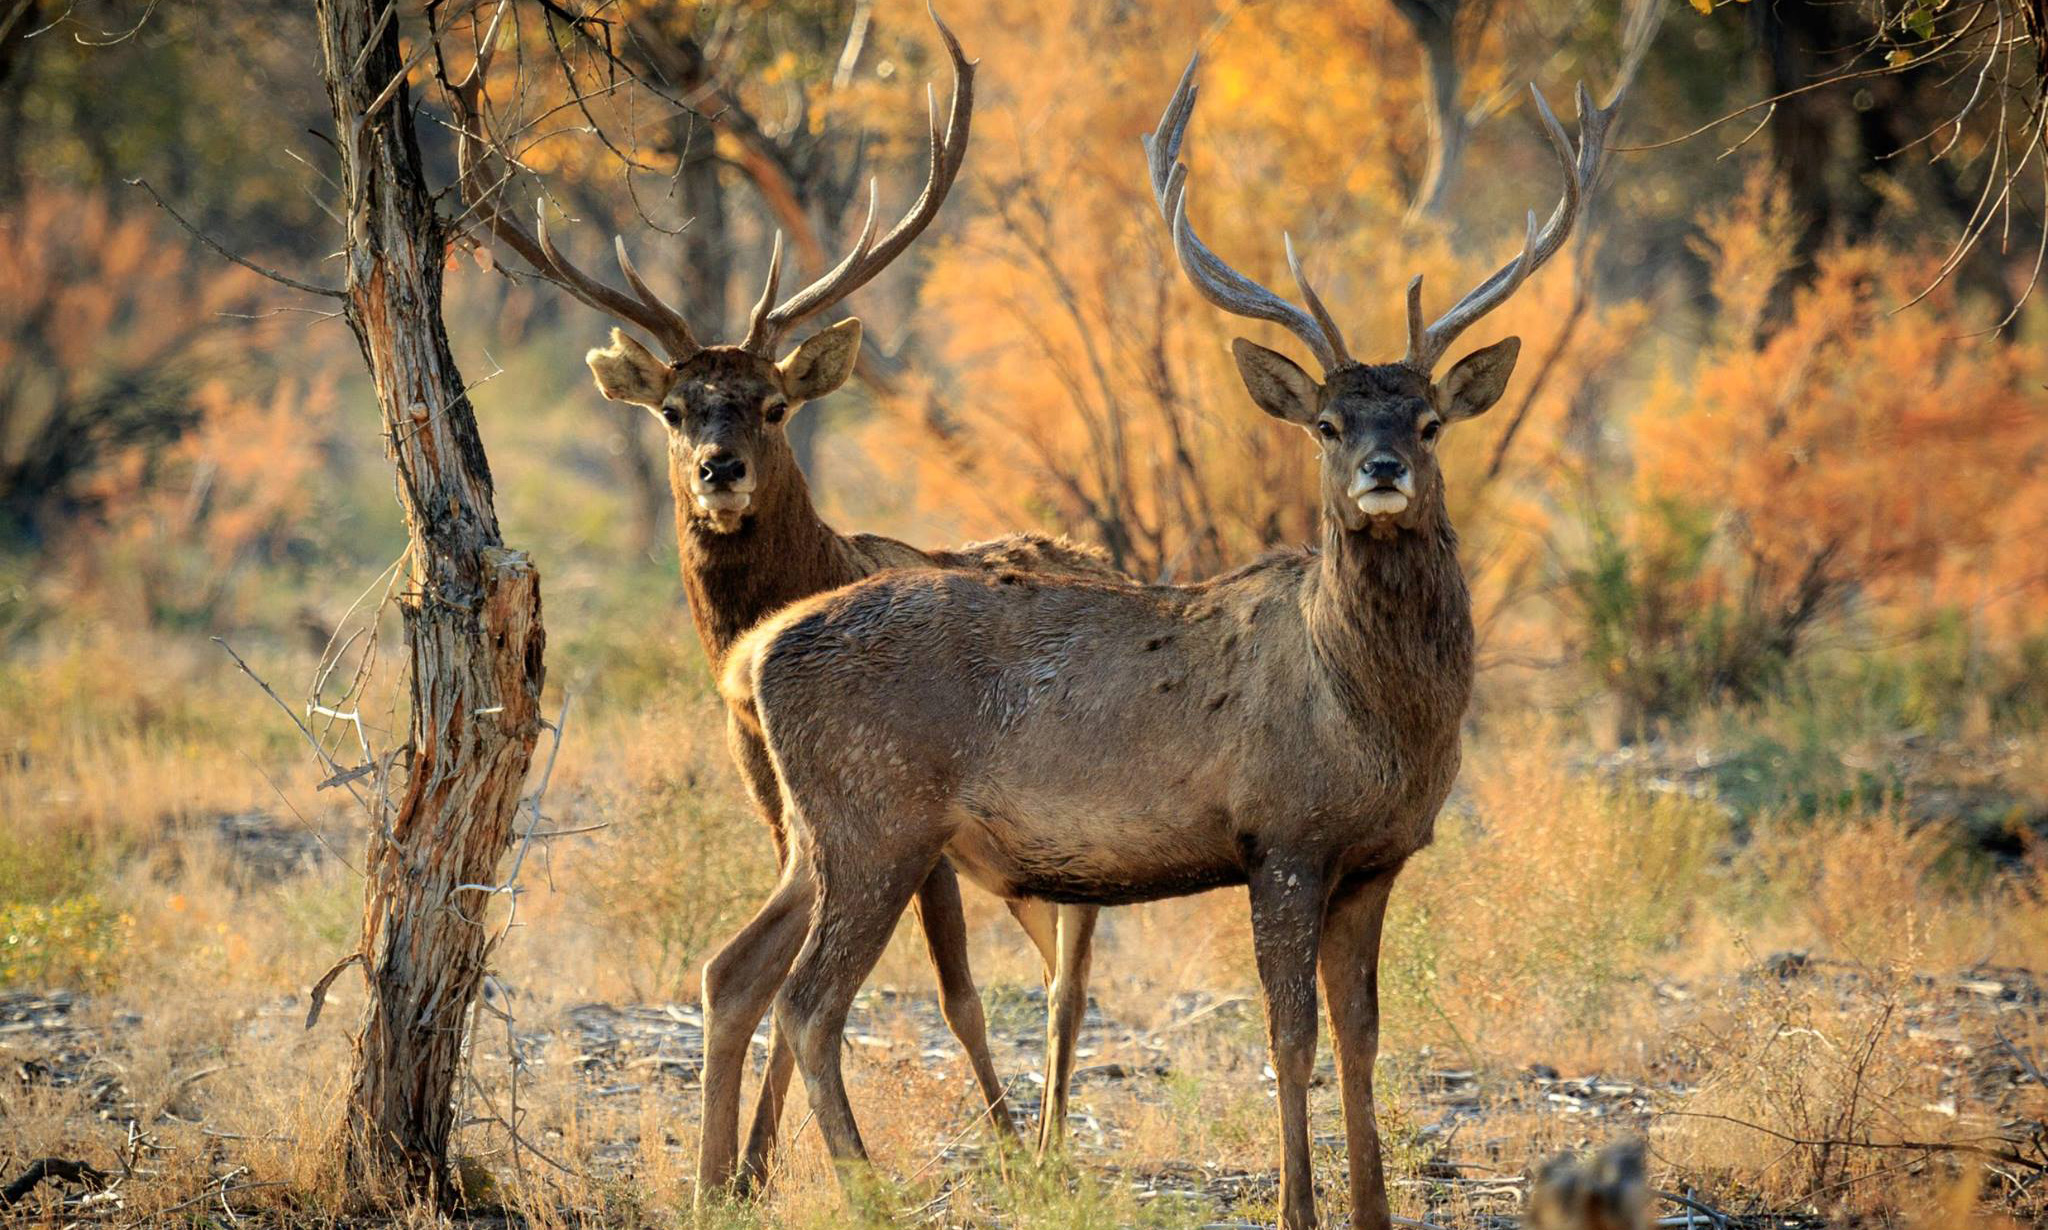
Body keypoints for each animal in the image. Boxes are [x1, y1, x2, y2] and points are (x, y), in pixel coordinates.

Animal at [438, 0, 1114, 1187]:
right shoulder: (778, 804)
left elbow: (954, 993)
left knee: (1067, 972)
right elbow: (794, 989)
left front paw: (993, 1137)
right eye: (674, 409)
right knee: (1044, 959)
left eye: (771, 404)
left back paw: (1042, 1134)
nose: (719, 469)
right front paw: (747, 1166)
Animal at [704, 52, 1630, 1227]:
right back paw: (865, 1192)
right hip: (877, 817)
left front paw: (1371, 1208)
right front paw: (1297, 1208)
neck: (1372, 721)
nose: (1382, 471)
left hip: (817, 830)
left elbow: (1364, 1041)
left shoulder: (1375, 858)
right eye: (1327, 423)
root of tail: (757, 649)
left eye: (1427, 421)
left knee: (736, 969)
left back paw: (714, 1183)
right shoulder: (1281, 835)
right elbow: (1290, 1039)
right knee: (810, 1003)